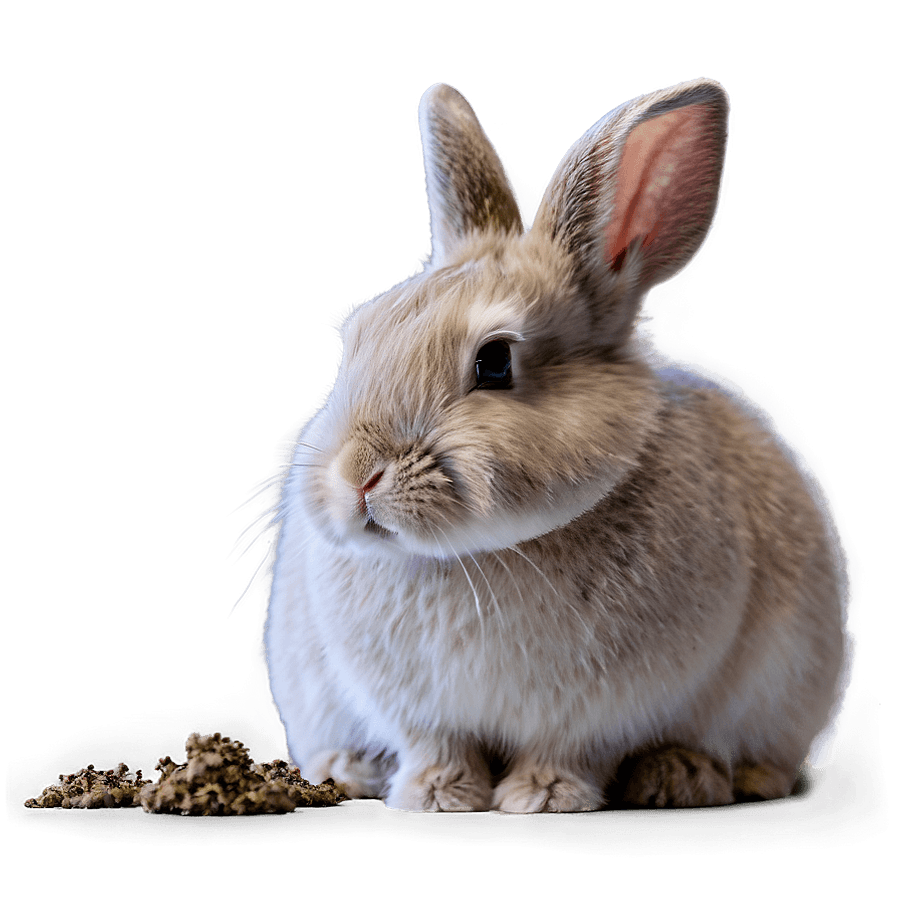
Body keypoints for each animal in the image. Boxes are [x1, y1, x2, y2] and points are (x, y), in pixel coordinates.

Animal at [233, 77, 844, 814]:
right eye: (356, 341)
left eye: (495, 363)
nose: (357, 477)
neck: (473, 555)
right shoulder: (417, 712)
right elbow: (438, 745)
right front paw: (435, 795)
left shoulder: (605, 712)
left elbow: (569, 750)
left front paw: (543, 797)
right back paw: (349, 771)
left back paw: (691, 778)